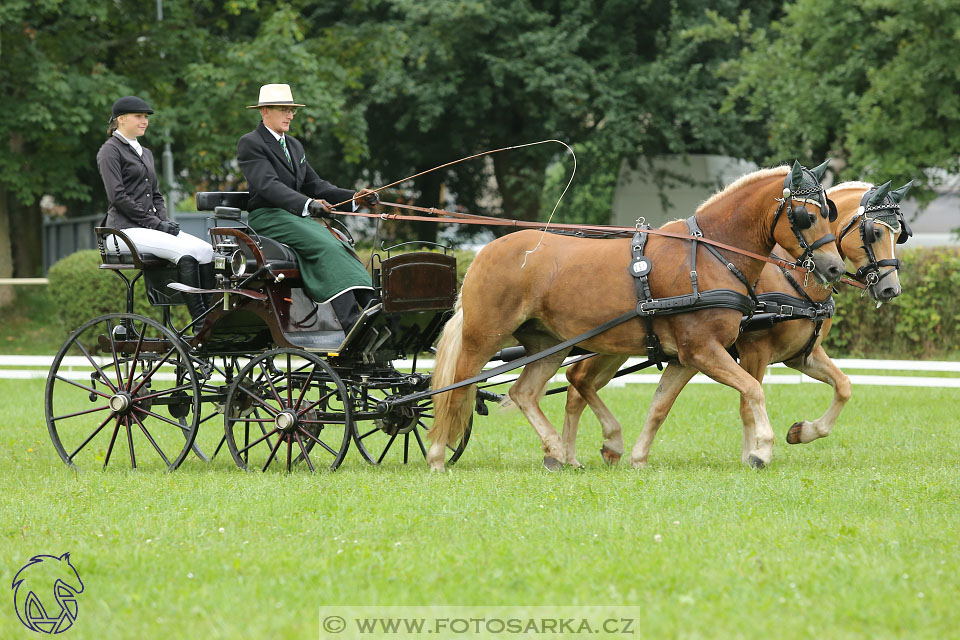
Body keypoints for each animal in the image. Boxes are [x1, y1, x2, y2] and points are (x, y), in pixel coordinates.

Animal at [560, 178, 912, 468]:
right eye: (875, 232)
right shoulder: (754, 350)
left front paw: (802, 432)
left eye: (899, 235)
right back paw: (575, 452)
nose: (890, 289)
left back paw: (578, 452)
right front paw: (754, 453)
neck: (789, 276)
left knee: (577, 384)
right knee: (577, 381)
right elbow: (748, 401)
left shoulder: (802, 355)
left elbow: (843, 386)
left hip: (615, 345)